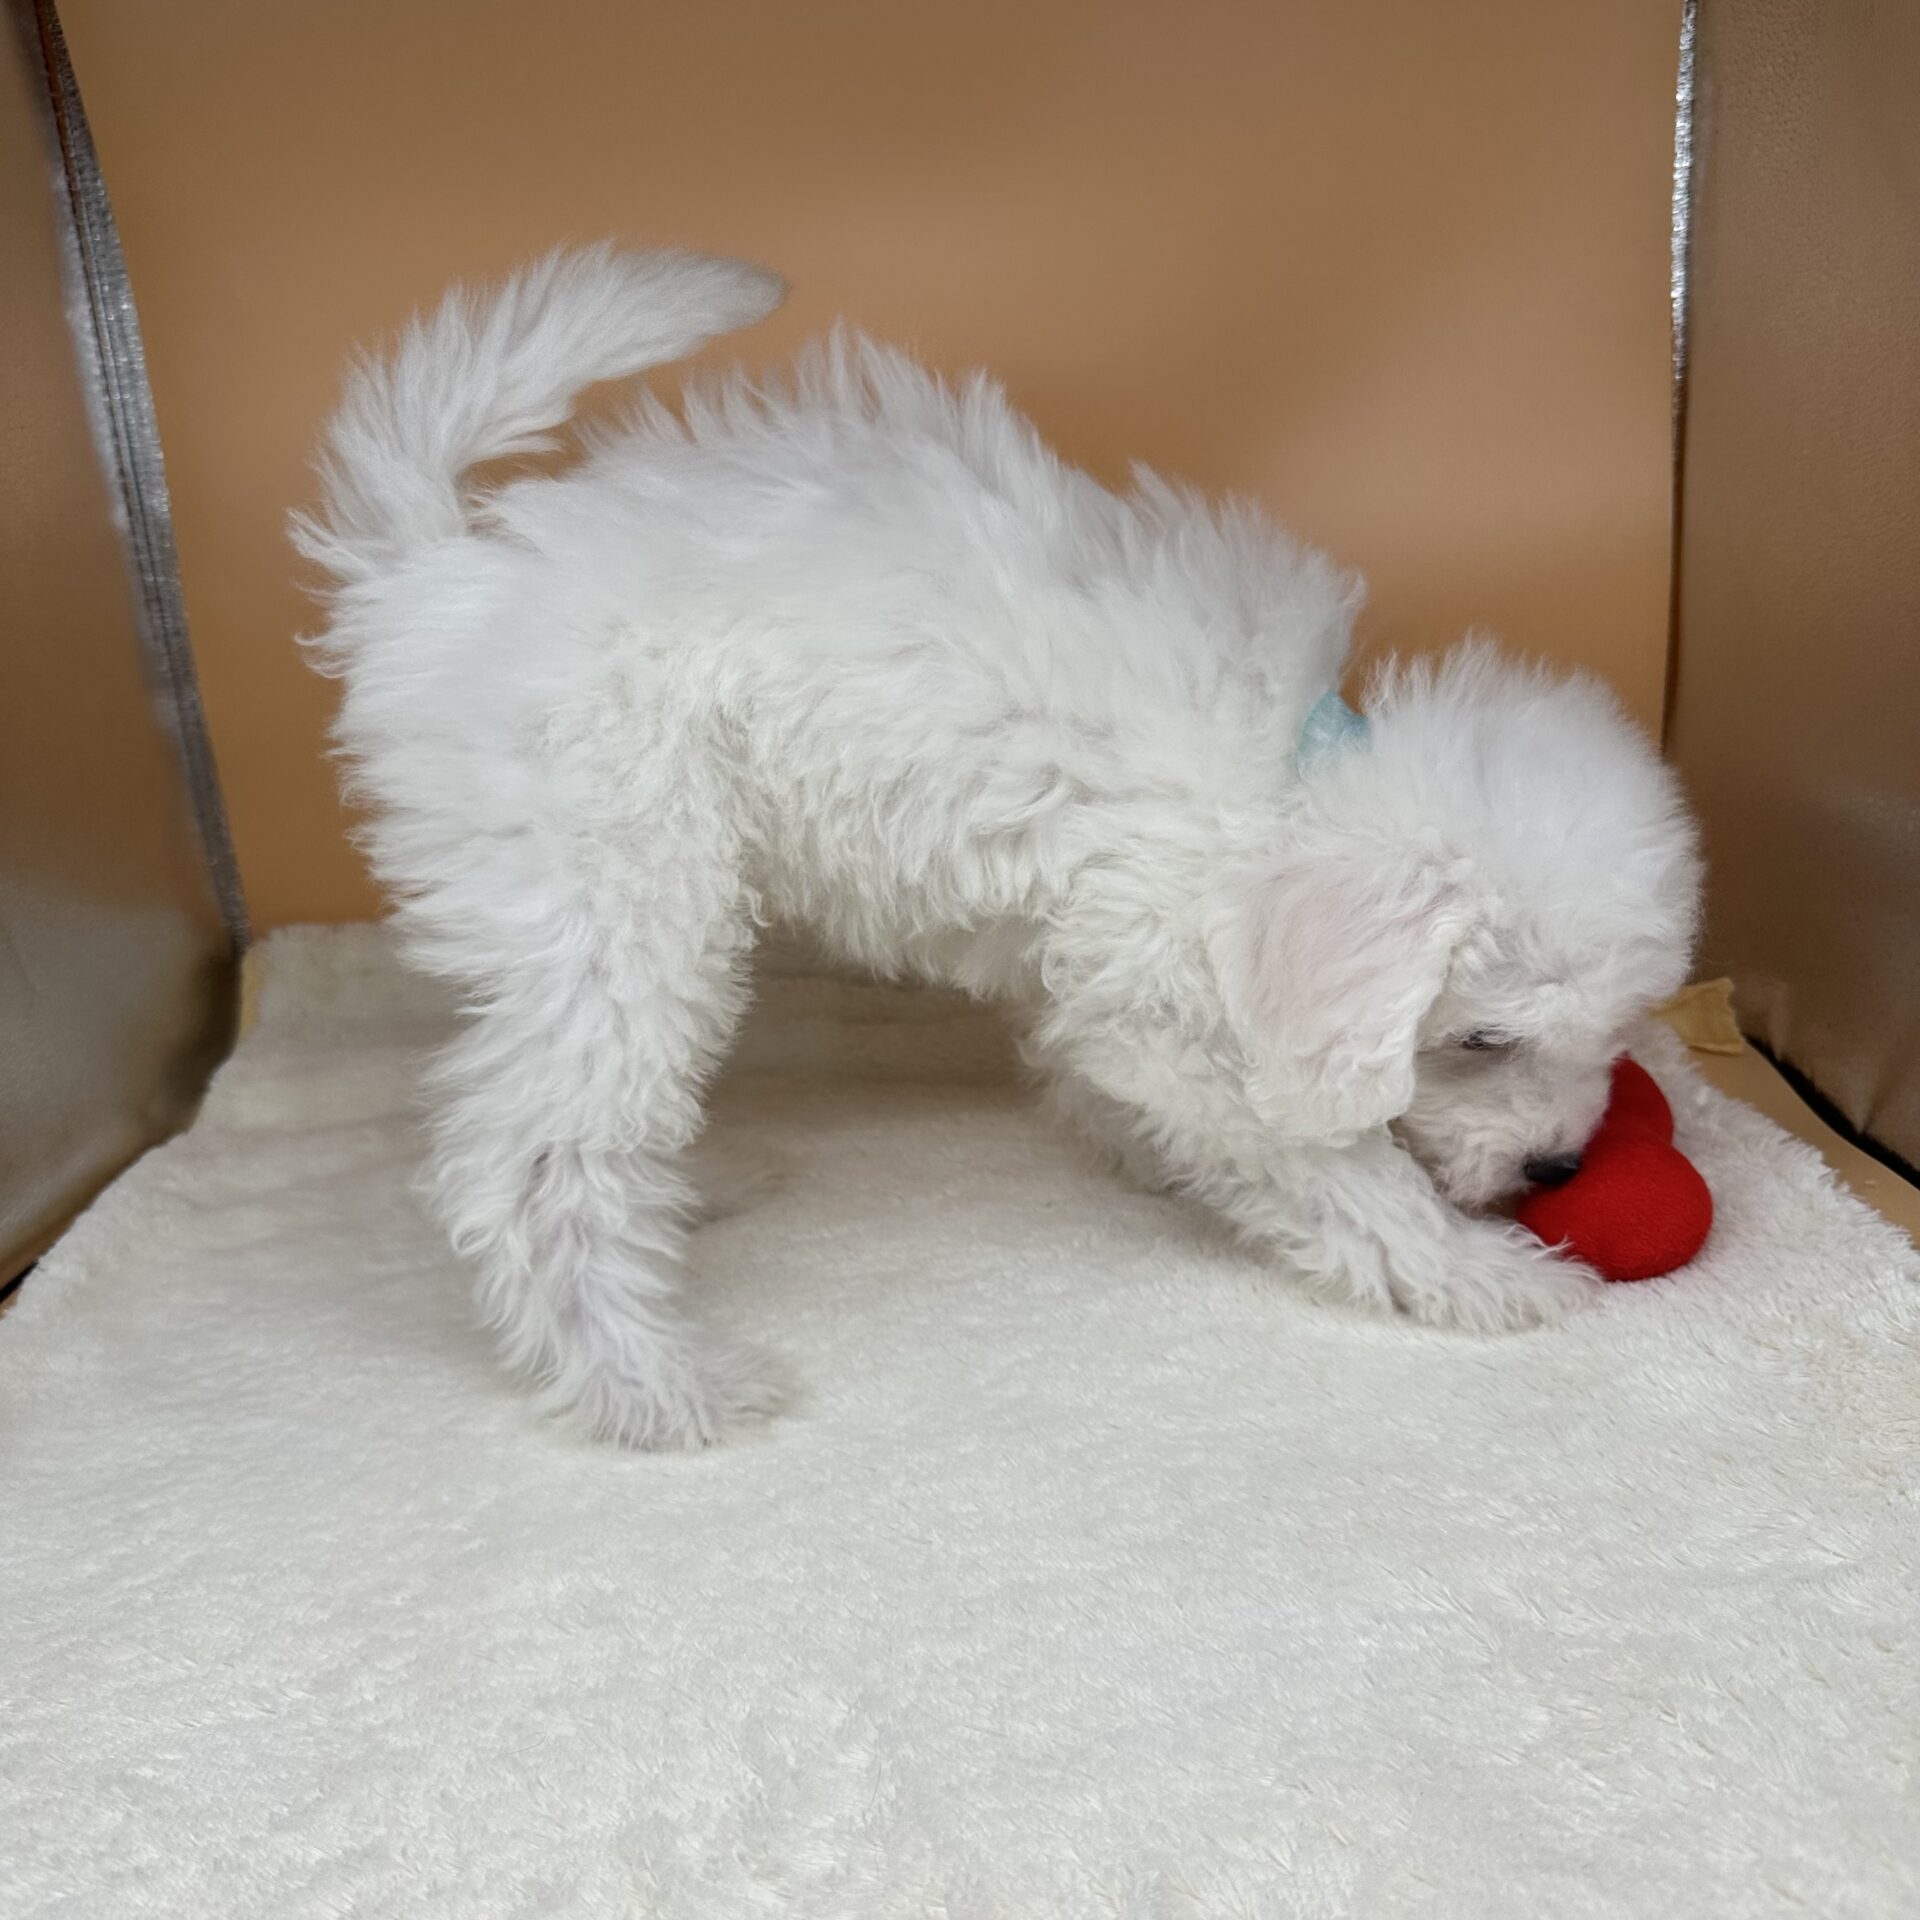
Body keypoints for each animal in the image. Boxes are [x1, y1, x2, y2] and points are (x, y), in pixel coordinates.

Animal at [294, 246, 1702, 1447]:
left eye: (1613, 1039)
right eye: (1481, 1042)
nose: (1560, 1163)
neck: (1294, 788)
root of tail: (432, 574)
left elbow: (1110, 1076)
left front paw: (1146, 1154)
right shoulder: (1173, 1000)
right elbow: (1332, 1167)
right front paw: (1480, 1275)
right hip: (618, 894)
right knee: (535, 1157)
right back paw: (656, 1385)